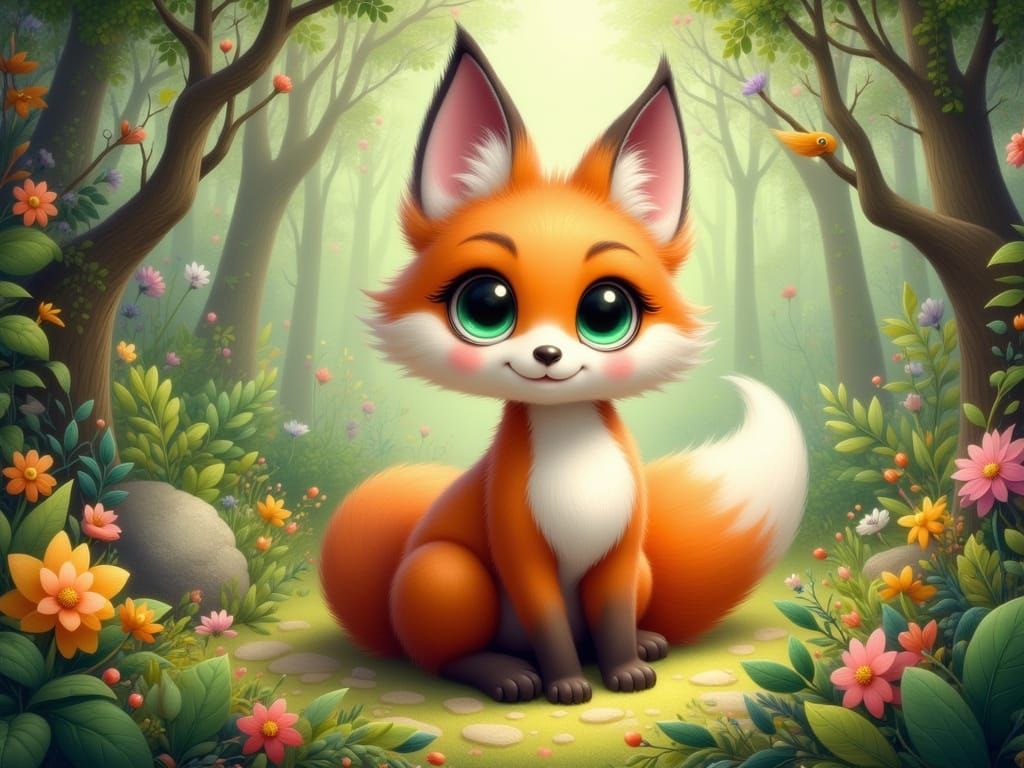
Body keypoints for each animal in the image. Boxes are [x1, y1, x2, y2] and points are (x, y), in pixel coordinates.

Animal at [320, 28, 808, 705]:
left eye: (607, 311)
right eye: (486, 305)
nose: (548, 355)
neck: (573, 454)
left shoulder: (622, 552)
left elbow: (612, 618)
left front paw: (625, 668)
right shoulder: (521, 551)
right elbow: (549, 625)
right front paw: (568, 685)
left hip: (639, 568)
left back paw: (645, 642)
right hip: (445, 572)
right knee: (443, 659)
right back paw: (504, 672)